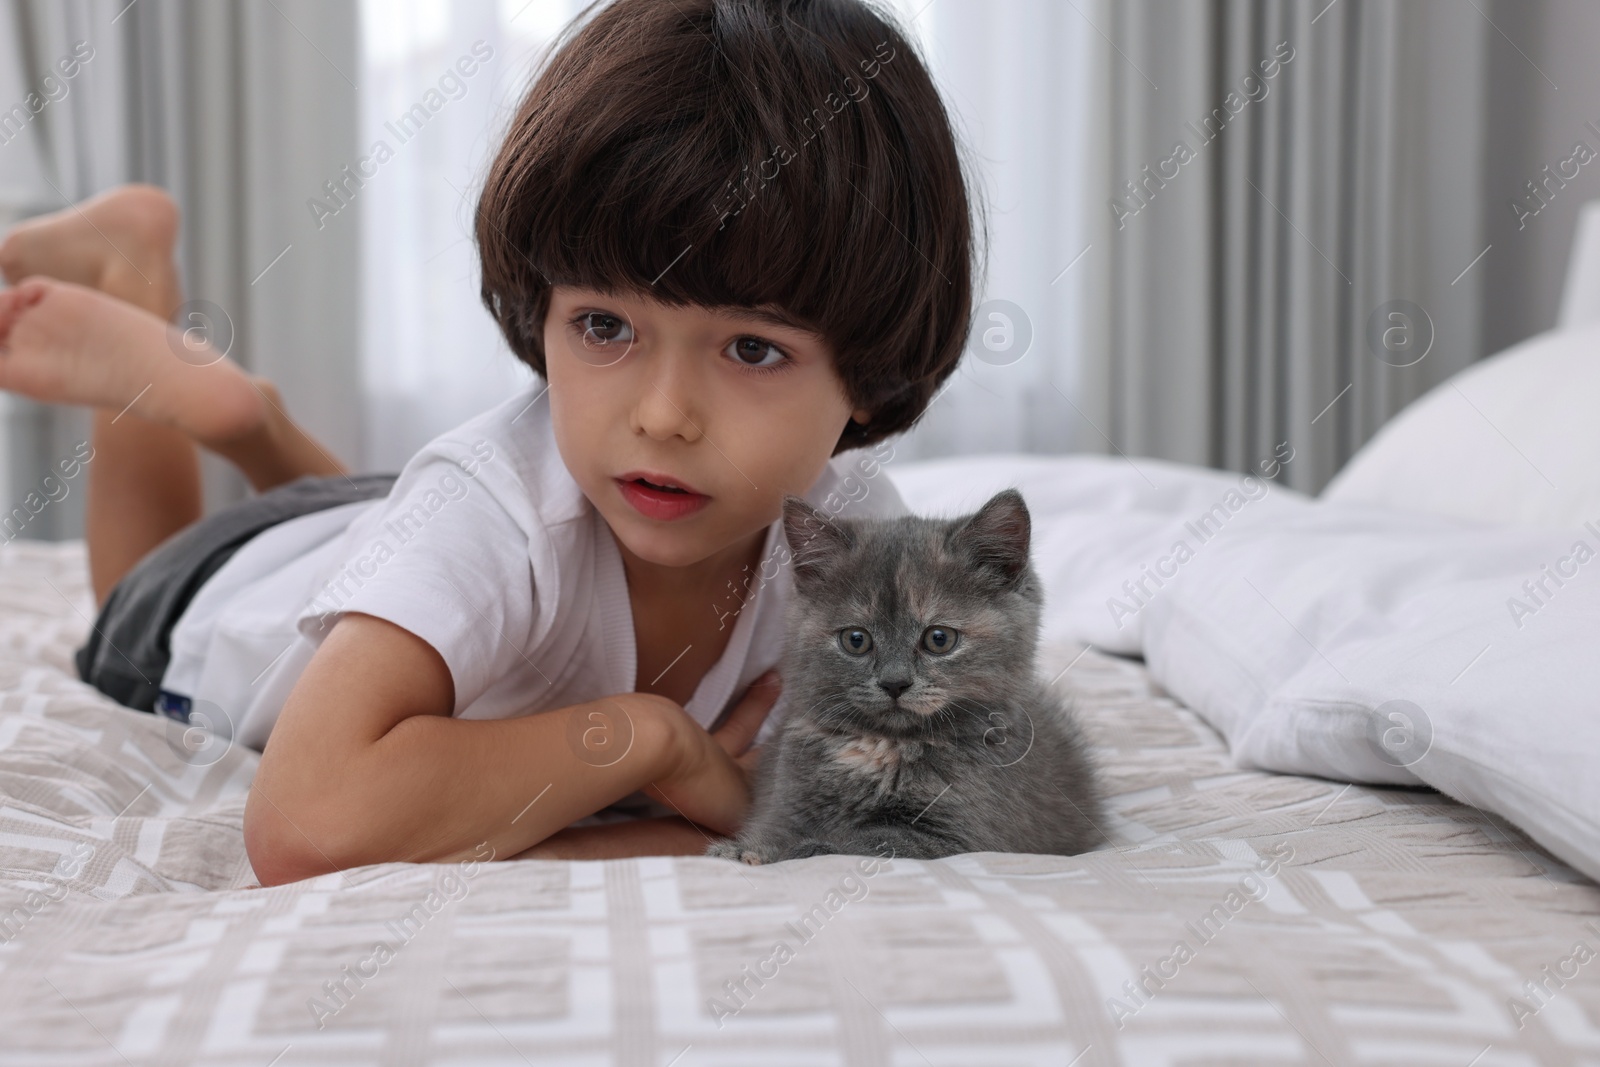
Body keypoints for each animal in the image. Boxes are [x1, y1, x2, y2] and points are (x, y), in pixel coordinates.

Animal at [710, 489, 1100, 863]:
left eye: (939, 639)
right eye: (856, 640)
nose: (894, 683)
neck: (883, 747)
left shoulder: (967, 837)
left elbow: (865, 843)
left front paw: (801, 850)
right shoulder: (784, 803)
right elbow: (778, 829)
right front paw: (744, 850)